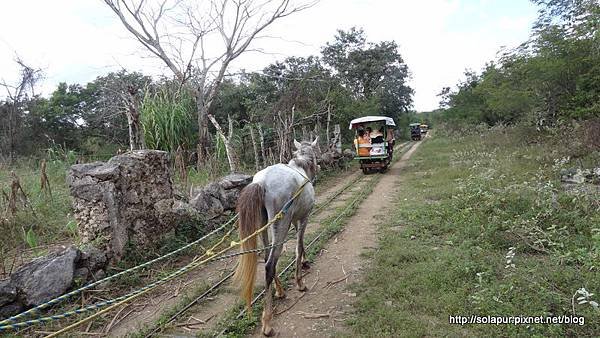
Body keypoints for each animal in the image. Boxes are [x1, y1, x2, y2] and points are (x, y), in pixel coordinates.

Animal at [233, 137, 318, 336]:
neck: (301, 168)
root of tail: (262, 182)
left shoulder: (295, 219)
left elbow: (300, 245)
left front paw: (305, 262)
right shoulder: (304, 217)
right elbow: (299, 245)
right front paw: (300, 281)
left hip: (265, 226)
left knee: (267, 257)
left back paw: (279, 291)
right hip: (281, 224)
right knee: (270, 263)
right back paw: (267, 322)